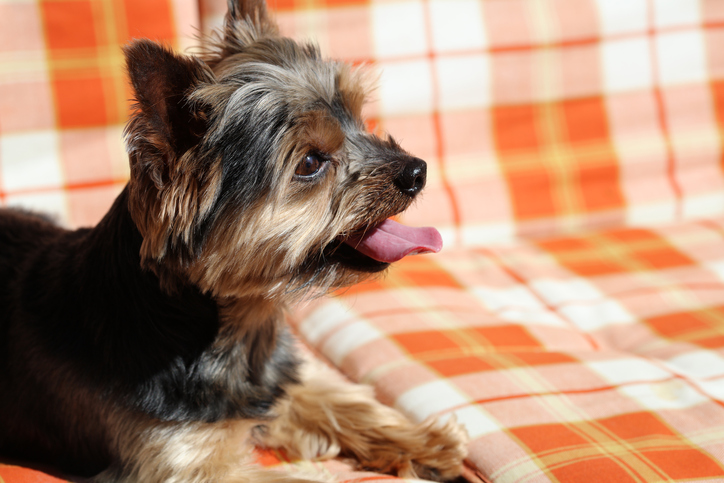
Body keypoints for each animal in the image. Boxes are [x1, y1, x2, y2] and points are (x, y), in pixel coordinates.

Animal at [0, 0, 470, 482]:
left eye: (359, 119)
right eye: (310, 162)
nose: (416, 171)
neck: (234, 324)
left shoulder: (279, 381)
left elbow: (342, 399)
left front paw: (429, 442)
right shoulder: (179, 461)